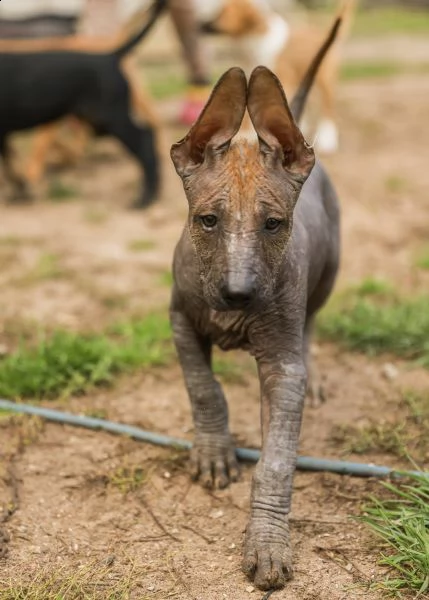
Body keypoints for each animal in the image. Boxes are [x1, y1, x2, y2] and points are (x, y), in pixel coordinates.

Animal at [0, 0, 165, 209]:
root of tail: (111, 56)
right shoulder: (4, 133)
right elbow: (11, 163)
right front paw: (21, 191)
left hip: (111, 116)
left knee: (145, 140)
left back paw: (145, 198)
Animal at [169, 15, 340, 592]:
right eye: (207, 220)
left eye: (273, 224)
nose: (238, 294)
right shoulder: (179, 319)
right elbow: (203, 387)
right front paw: (214, 451)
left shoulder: (282, 368)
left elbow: (277, 460)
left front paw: (267, 544)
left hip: (328, 274)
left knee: (312, 326)